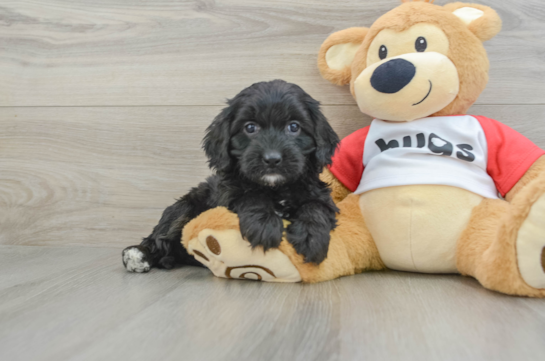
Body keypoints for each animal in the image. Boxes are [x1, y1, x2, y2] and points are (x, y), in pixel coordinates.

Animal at [121, 78, 338, 270]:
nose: (272, 159)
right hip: (183, 207)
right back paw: (138, 255)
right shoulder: (227, 194)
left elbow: (316, 206)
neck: (275, 188)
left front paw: (311, 236)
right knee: (161, 236)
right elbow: (250, 195)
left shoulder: (320, 194)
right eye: (250, 127)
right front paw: (264, 224)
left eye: (294, 126)